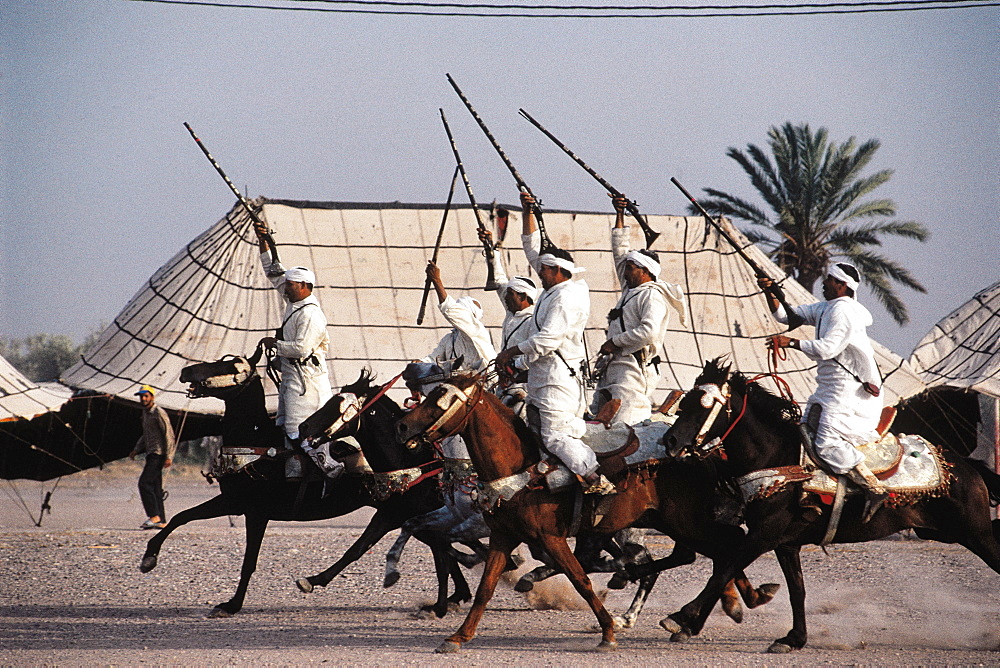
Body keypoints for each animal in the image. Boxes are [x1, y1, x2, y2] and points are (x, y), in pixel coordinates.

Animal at [137, 352, 468, 620]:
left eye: (230, 365)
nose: (187, 371)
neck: (257, 444)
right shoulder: (232, 502)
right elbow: (181, 517)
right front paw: (148, 558)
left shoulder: (255, 512)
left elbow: (249, 561)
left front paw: (231, 605)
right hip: (397, 511)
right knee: (437, 545)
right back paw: (456, 596)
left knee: (440, 546)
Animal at [394, 374, 776, 656]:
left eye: (441, 399)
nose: (402, 427)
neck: (522, 469)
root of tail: (696, 449)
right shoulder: (504, 536)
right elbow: (486, 587)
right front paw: (458, 636)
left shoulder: (551, 538)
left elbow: (581, 579)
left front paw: (608, 631)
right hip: (670, 521)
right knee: (714, 551)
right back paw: (733, 604)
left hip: (686, 521)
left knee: (726, 546)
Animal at [656, 360, 1000, 652]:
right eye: (684, 403)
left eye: (704, 405)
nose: (669, 442)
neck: (777, 458)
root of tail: (965, 466)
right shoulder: (785, 543)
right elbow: (795, 589)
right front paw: (794, 638)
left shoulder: (763, 535)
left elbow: (724, 569)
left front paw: (682, 617)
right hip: (943, 532)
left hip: (974, 534)